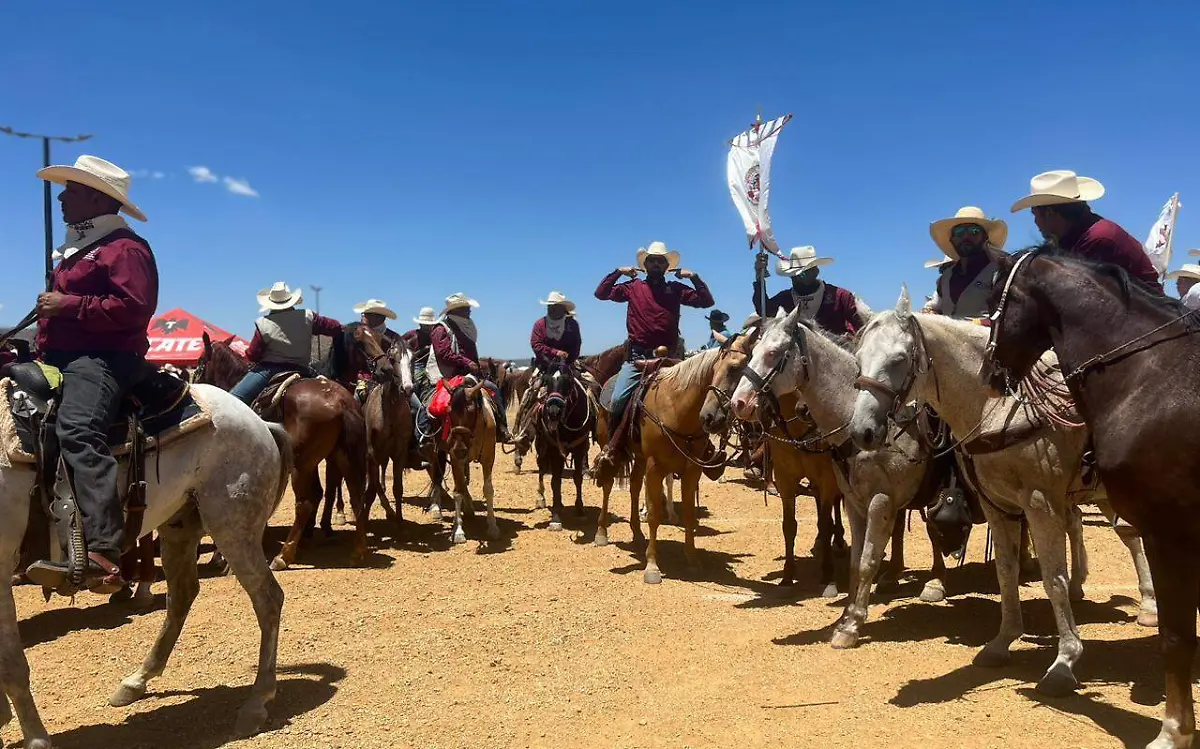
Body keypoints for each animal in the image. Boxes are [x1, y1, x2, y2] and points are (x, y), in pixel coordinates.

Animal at [0, 384, 292, 744]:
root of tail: (259, 422)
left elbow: (12, 663)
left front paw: (36, 738)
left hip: (233, 527)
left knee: (268, 600)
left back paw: (256, 704)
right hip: (180, 525)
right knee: (182, 596)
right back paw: (137, 680)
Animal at [530, 360, 595, 530]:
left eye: (568, 380)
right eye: (546, 380)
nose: (553, 411)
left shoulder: (580, 449)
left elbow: (577, 478)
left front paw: (580, 509)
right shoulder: (554, 450)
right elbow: (555, 481)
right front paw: (556, 516)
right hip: (541, 447)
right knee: (541, 469)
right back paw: (541, 498)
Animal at [849, 286, 1156, 696]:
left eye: (898, 359)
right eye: (858, 359)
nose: (863, 431)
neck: (1000, 407)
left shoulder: (1040, 503)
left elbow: (1053, 579)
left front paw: (1065, 661)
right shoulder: (997, 505)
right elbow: (1007, 572)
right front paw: (1002, 642)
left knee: (1132, 537)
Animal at [984, 246, 1200, 749]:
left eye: (993, 298)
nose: (989, 371)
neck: (1149, 378)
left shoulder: (1169, 533)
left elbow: (1176, 636)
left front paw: (1174, 732)